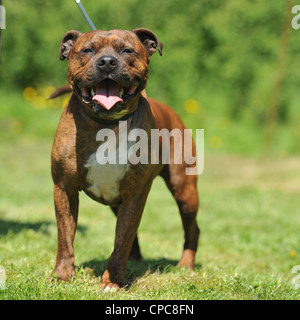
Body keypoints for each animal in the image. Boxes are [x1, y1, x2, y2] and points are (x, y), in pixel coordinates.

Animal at [50, 28, 200, 290]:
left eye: (128, 50)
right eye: (87, 50)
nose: (107, 62)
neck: (106, 124)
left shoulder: (135, 193)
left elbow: (121, 240)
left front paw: (112, 281)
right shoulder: (63, 189)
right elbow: (65, 238)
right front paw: (62, 276)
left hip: (184, 190)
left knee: (191, 228)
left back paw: (185, 264)